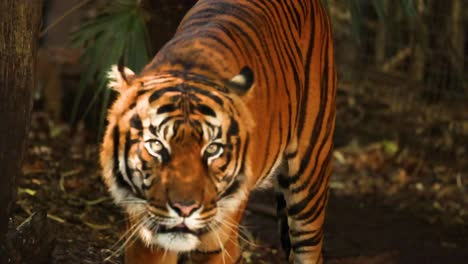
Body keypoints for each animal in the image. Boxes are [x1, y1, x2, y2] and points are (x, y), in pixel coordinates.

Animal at [99, 0, 332, 262]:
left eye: (213, 149)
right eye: (156, 145)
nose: (185, 208)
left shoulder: (217, 245)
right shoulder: (146, 242)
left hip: (309, 178)